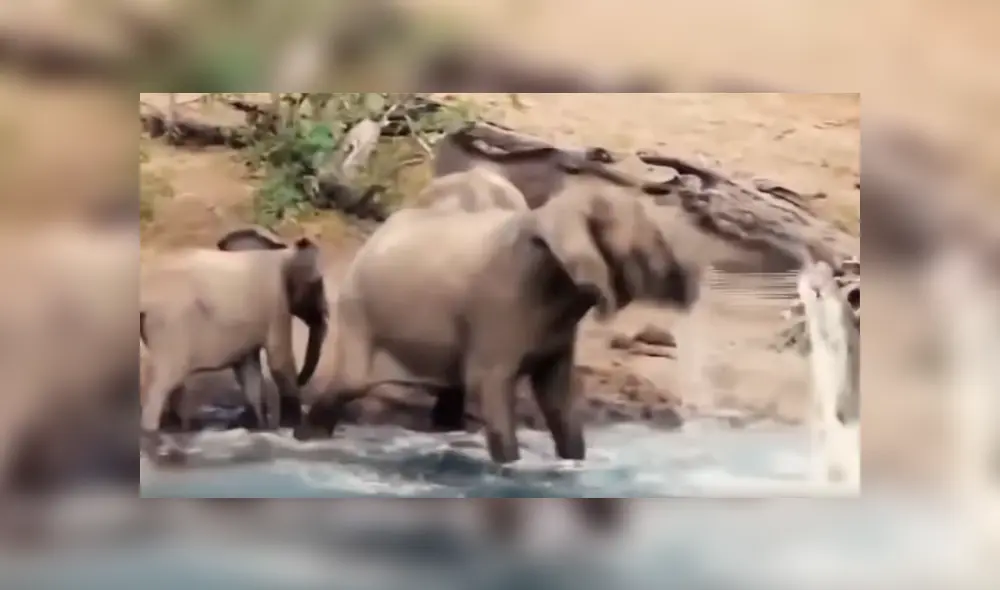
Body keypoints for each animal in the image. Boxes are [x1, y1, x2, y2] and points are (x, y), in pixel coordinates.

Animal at [139, 228, 329, 456]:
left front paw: (260, 429)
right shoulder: (276, 304)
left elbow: (248, 370)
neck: (282, 252)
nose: (304, 380)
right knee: (165, 381)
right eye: (317, 284)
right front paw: (289, 428)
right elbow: (279, 361)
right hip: (172, 325)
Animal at [295, 186, 701, 464]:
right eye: (653, 242)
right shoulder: (500, 306)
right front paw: (510, 467)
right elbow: (490, 382)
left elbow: (555, 393)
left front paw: (572, 464)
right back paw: (306, 438)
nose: (691, 293)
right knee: (350, 384)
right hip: (359, 311)